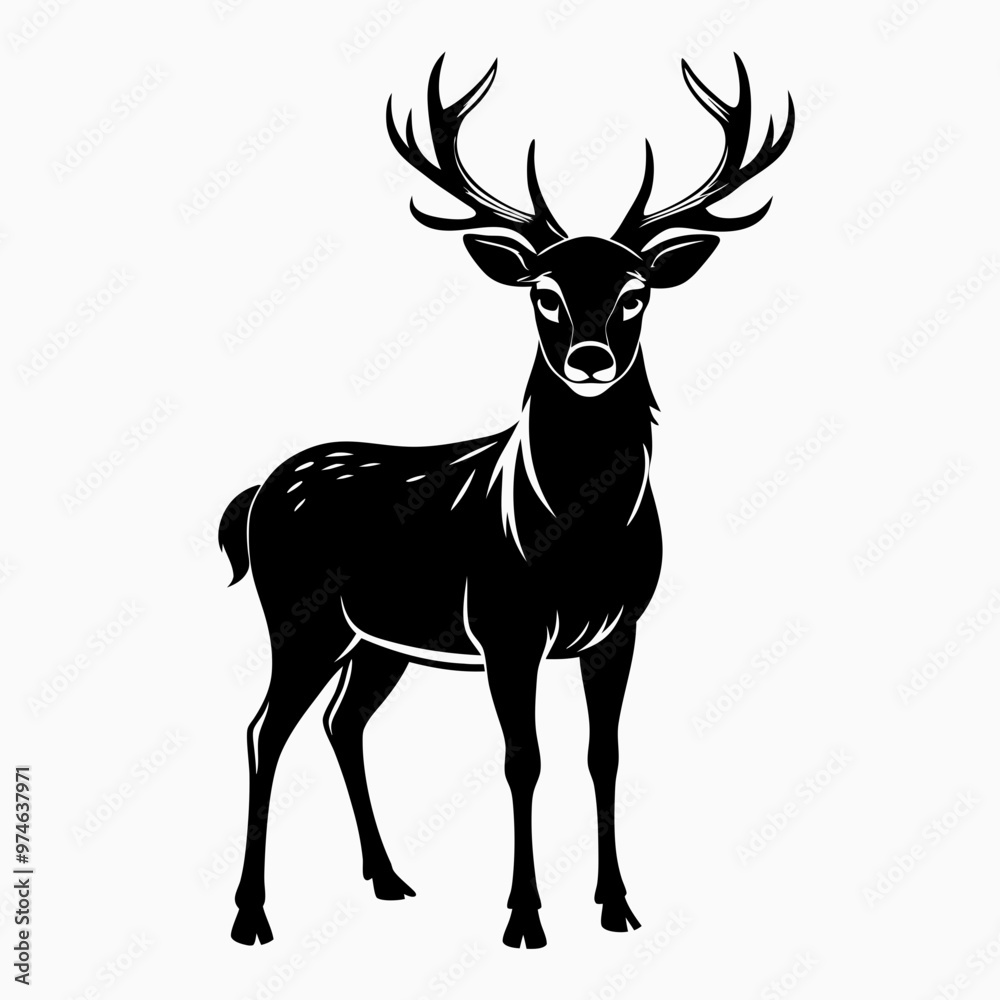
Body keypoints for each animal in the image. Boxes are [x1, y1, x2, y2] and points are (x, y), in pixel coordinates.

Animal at [220, 52, 793, 950]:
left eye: (636, 291)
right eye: (543, 292)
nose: (591, 358)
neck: (570, 531)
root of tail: (255, 498)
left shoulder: (618, 628)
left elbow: (603, 755)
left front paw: (617, 905)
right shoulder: (505, 625)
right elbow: (523, 760)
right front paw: (525, 918)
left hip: (379, 638)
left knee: (342, 723)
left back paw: (389, 879)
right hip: (298, 617)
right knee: (263, 729)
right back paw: (251, 915)